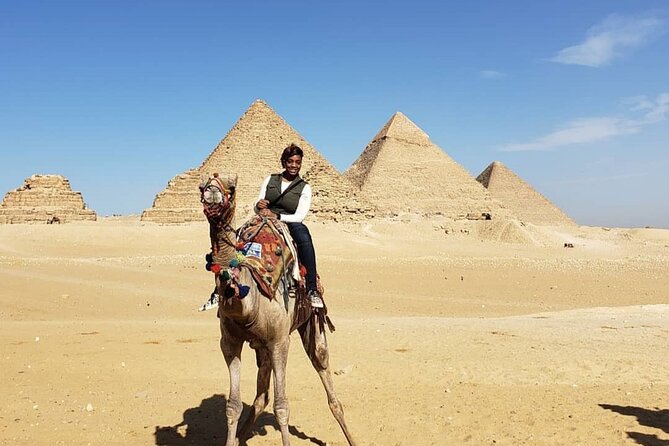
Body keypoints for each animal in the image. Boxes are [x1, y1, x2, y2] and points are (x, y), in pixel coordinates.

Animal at [200, 174, 356, 446]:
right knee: (260, 397)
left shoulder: (280, 341)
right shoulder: (229, 342)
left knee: (326, 377)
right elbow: (232, 406)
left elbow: (282, 407)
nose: (211, 193)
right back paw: (241, 437)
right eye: (201, 186)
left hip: (311, 324)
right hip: (261, 347)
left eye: (232, 187)